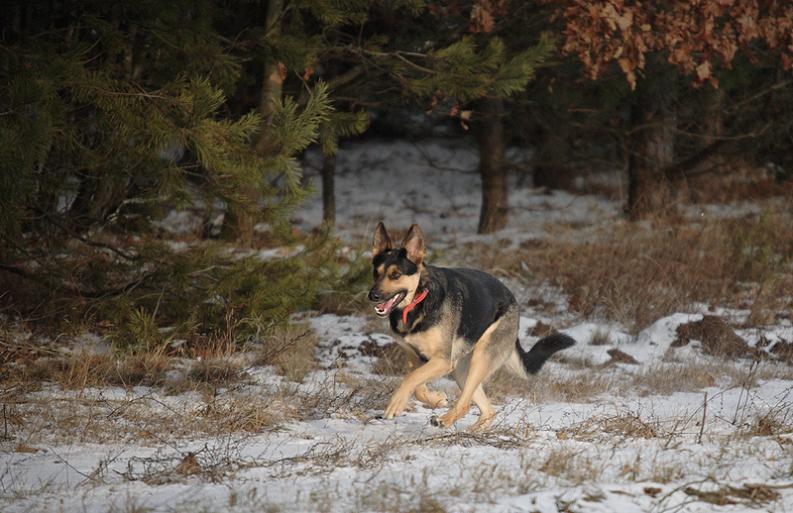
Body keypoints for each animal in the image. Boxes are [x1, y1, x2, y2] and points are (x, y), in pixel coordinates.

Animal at [368, 222, 572, 430]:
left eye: (395, 275)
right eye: (376, 273)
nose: (373, 296)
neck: (419, 299)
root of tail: (513, 299)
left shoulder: (442, 361)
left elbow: (411, 379)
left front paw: (396, 404)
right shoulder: (416, 358)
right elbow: (416, 385)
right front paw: (436, 399)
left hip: (479, 358)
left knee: (466, 403)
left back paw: (446, 420)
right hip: (461, 368)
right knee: (488, 411)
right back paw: (473, 430)